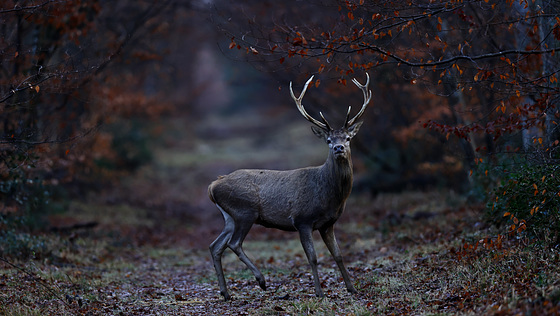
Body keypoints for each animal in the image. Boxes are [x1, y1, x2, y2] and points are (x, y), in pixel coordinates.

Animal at [208, 73, 370, 300]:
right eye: (329, 140)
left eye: (347, 138)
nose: (338, 148)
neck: (330, 196)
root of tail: (213, 185)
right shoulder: (302, 219)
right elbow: (313, 257)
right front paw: (319, 292)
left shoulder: (328, 223)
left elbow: (338, 255)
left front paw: (352, 288)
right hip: (244, 211)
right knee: (234, 243)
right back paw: (261, 280)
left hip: (229, 216)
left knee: (215, 246)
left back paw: (226, 293)